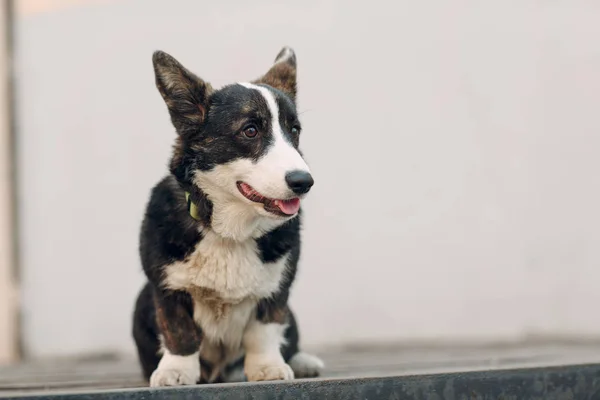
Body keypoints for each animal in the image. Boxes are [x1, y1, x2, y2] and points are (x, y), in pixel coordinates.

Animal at [131, 47, 324, 388]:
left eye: (295, 131)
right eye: (250, 130)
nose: (304, 182)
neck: (230, 230)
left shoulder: (276, 291)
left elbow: (264, 331)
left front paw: (267, 368)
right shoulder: (166, 288)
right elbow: (179, 332)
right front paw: (175, 371)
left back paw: (303, 362)